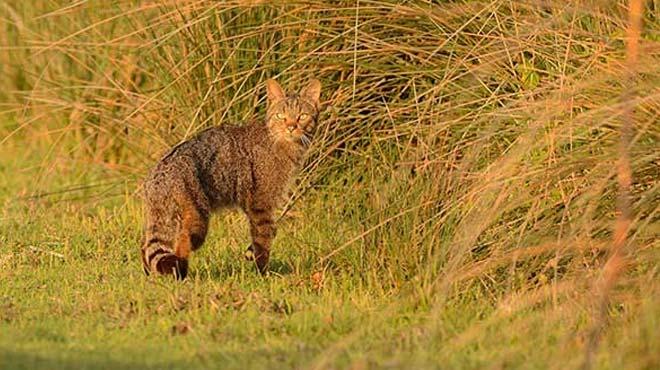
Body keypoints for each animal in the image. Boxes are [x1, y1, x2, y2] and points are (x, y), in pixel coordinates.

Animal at [141, 79, 320, 280]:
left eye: (302, 116)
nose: (291, 127)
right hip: (197, 218)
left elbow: (268, 234)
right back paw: (181, 274)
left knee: (146, 246)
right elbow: (263, 239)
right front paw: (262, 273)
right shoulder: (261, 203)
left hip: (165, 218)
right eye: (281, 115)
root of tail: (159, 175)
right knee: (181, 242)